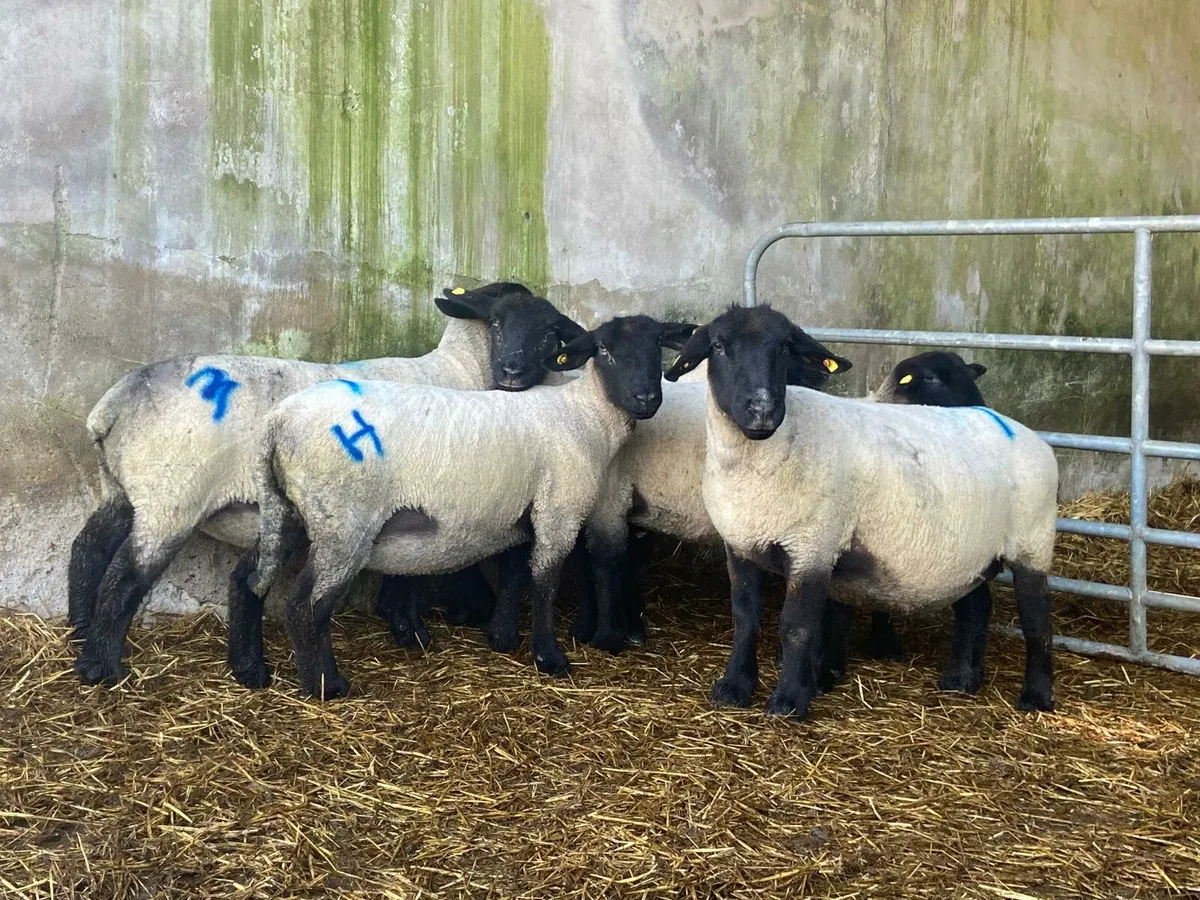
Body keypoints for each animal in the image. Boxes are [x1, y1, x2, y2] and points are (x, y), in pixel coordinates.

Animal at [72, 282, 587, 688]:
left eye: (549, 333)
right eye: (497, 323)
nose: (513, 371)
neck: (460, 370)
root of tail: (115, 401)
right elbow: (419, 570)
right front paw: (411, 630)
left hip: (125, 492)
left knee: (87, 550)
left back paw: (80, 634)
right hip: (170, 498)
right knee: (124, 577)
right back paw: (101, 667)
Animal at [240, 315, 697, 699]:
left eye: (658, 345)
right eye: (604, 350)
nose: (646, 398)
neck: (585, 415)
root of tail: (277, 423)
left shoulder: (522, 513)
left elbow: (516, 575)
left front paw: (503, 638)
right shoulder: (559, 508)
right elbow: (545, 582)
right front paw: (549, 657)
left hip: (292, 509)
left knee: (251, 577)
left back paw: (253, 669)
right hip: (344, 521)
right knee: (306, 603)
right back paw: (326, 684)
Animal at [663, 305, 1058, 720]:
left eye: (785, 348)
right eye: (718, 347)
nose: (762, 411)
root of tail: (1027, 433)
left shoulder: (813, 546)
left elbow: (797, 625)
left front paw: (790, 698)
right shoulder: (740, 542)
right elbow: (744, 616)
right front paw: (735, 686)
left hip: (1033, 543)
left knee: (1037, 622)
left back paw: (1036, 696)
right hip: (976, 552)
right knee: (976, 606)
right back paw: (962, 679)